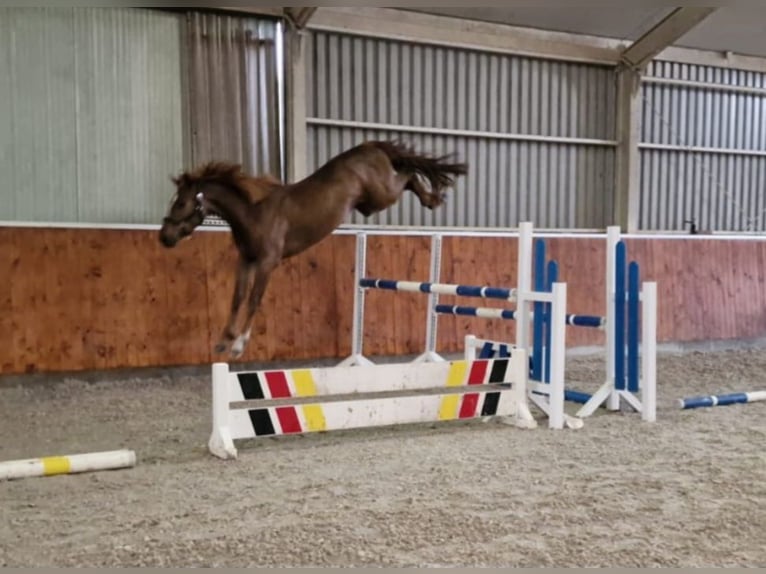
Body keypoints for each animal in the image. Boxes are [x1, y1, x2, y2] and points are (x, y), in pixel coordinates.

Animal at [160, 139, 468, 358]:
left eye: (181, 203)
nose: (164, 237)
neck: (253, 212)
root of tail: (369, 145)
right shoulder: (246, 260)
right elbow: (237, 299)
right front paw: (225, 341)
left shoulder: (267, 263)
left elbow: (254, 300)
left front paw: (239, 345)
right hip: (371, 204)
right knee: (408, 173)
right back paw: (433, 198)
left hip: (382, 195)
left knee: (408, 174)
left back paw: (433, 199)